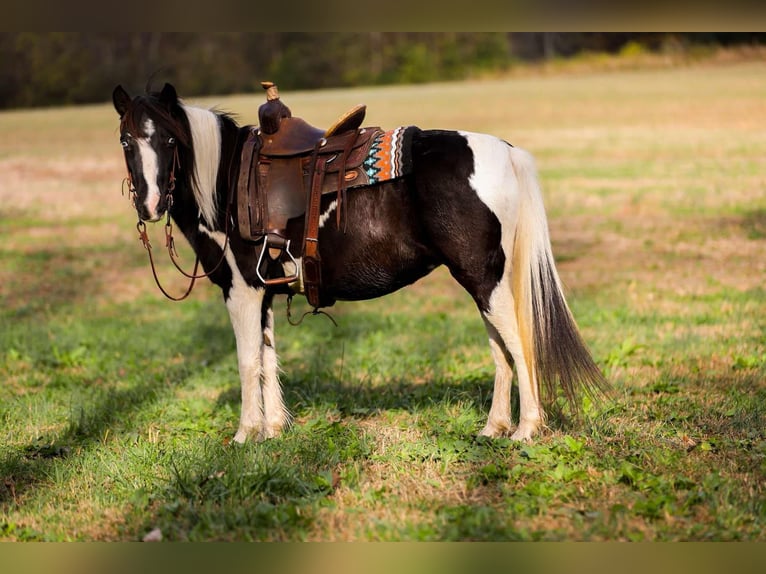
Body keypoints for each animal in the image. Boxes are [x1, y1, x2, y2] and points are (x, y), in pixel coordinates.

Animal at [112, 82, 607, 444]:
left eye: (170, 139)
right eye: (127, 141)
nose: (150, 205)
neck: (226, 181)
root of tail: (505, 151)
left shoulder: (242, 291)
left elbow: (248, 361)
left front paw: (244, 436)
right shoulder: (265, 293)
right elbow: (269, 359)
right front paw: (273, 431)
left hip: (486, 280)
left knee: (519, 344)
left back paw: (525, 430)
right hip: (483, 281)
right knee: (500, 349)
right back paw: (493, 428)